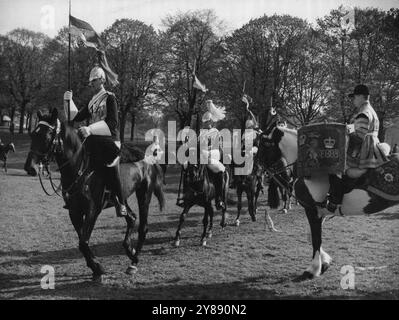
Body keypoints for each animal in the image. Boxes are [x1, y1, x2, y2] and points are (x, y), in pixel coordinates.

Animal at [24, 108, 165, 280]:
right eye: (33, 134)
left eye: (47, 136)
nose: (30, 167)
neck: (80, 168)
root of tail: (149, 156)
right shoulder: (75, 212)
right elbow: (82, 241)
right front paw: (95, 267)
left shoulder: (92, 210)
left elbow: (83, 242)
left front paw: (97, 267)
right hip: (122, 198)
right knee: (131, 218)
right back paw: (130, 250)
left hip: (144, 195)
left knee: (143, 227)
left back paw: (133, 262)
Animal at [258, 121, 398, 278]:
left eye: (263, 143)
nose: (258, 168)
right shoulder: (321, 211)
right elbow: (311, 237)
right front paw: (325, 262)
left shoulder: (312, 210)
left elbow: (316, 239)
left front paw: (313, 269)